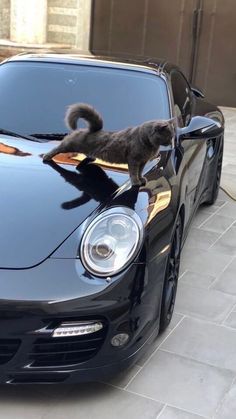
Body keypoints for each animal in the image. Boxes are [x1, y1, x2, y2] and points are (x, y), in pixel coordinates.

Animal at [43, 103, 174, 185]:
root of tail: (91, 130)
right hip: (71, 144)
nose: (171, 141)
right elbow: (133, 172)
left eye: (172, 135)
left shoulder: (143, 161)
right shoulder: (134, 160)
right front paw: (136, 182)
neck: (149, 144)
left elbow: (140, 172)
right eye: (168, 136)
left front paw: (141, 179)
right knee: (59, 147)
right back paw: (46, 157)